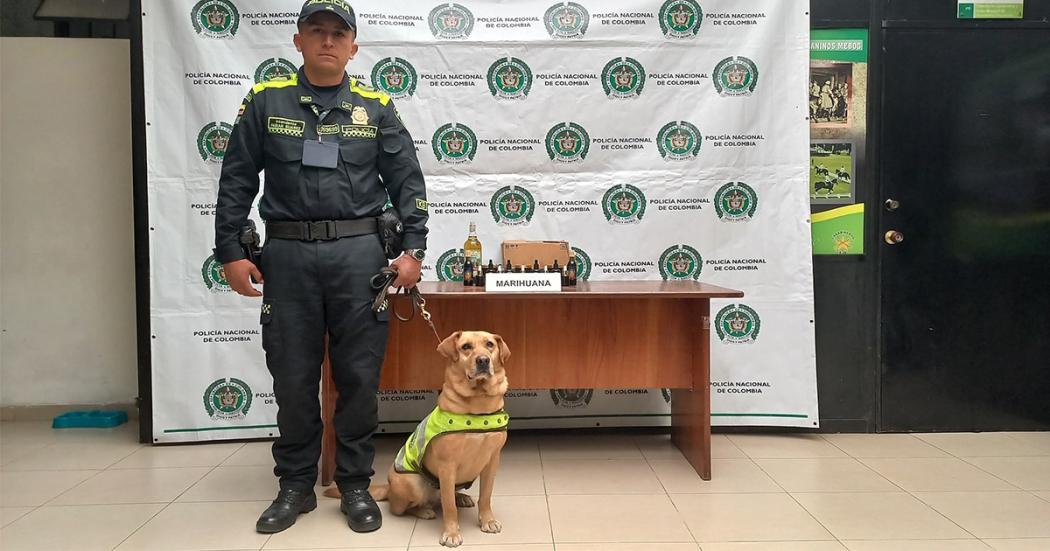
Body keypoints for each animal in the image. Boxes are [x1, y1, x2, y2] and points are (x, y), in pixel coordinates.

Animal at [325, 331, 510, 545]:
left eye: (489, 345)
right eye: (466, 347)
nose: (483, 360)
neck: (478, 406)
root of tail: (388, 489)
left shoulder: (492, 461)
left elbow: (485, 496)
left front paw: (488, 520)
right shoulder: (447, 465)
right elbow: (449, 507)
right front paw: (451, 533)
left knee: (443, 497)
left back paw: (460, 497)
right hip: (411, 484)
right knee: (404, 508)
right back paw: (423, 510)